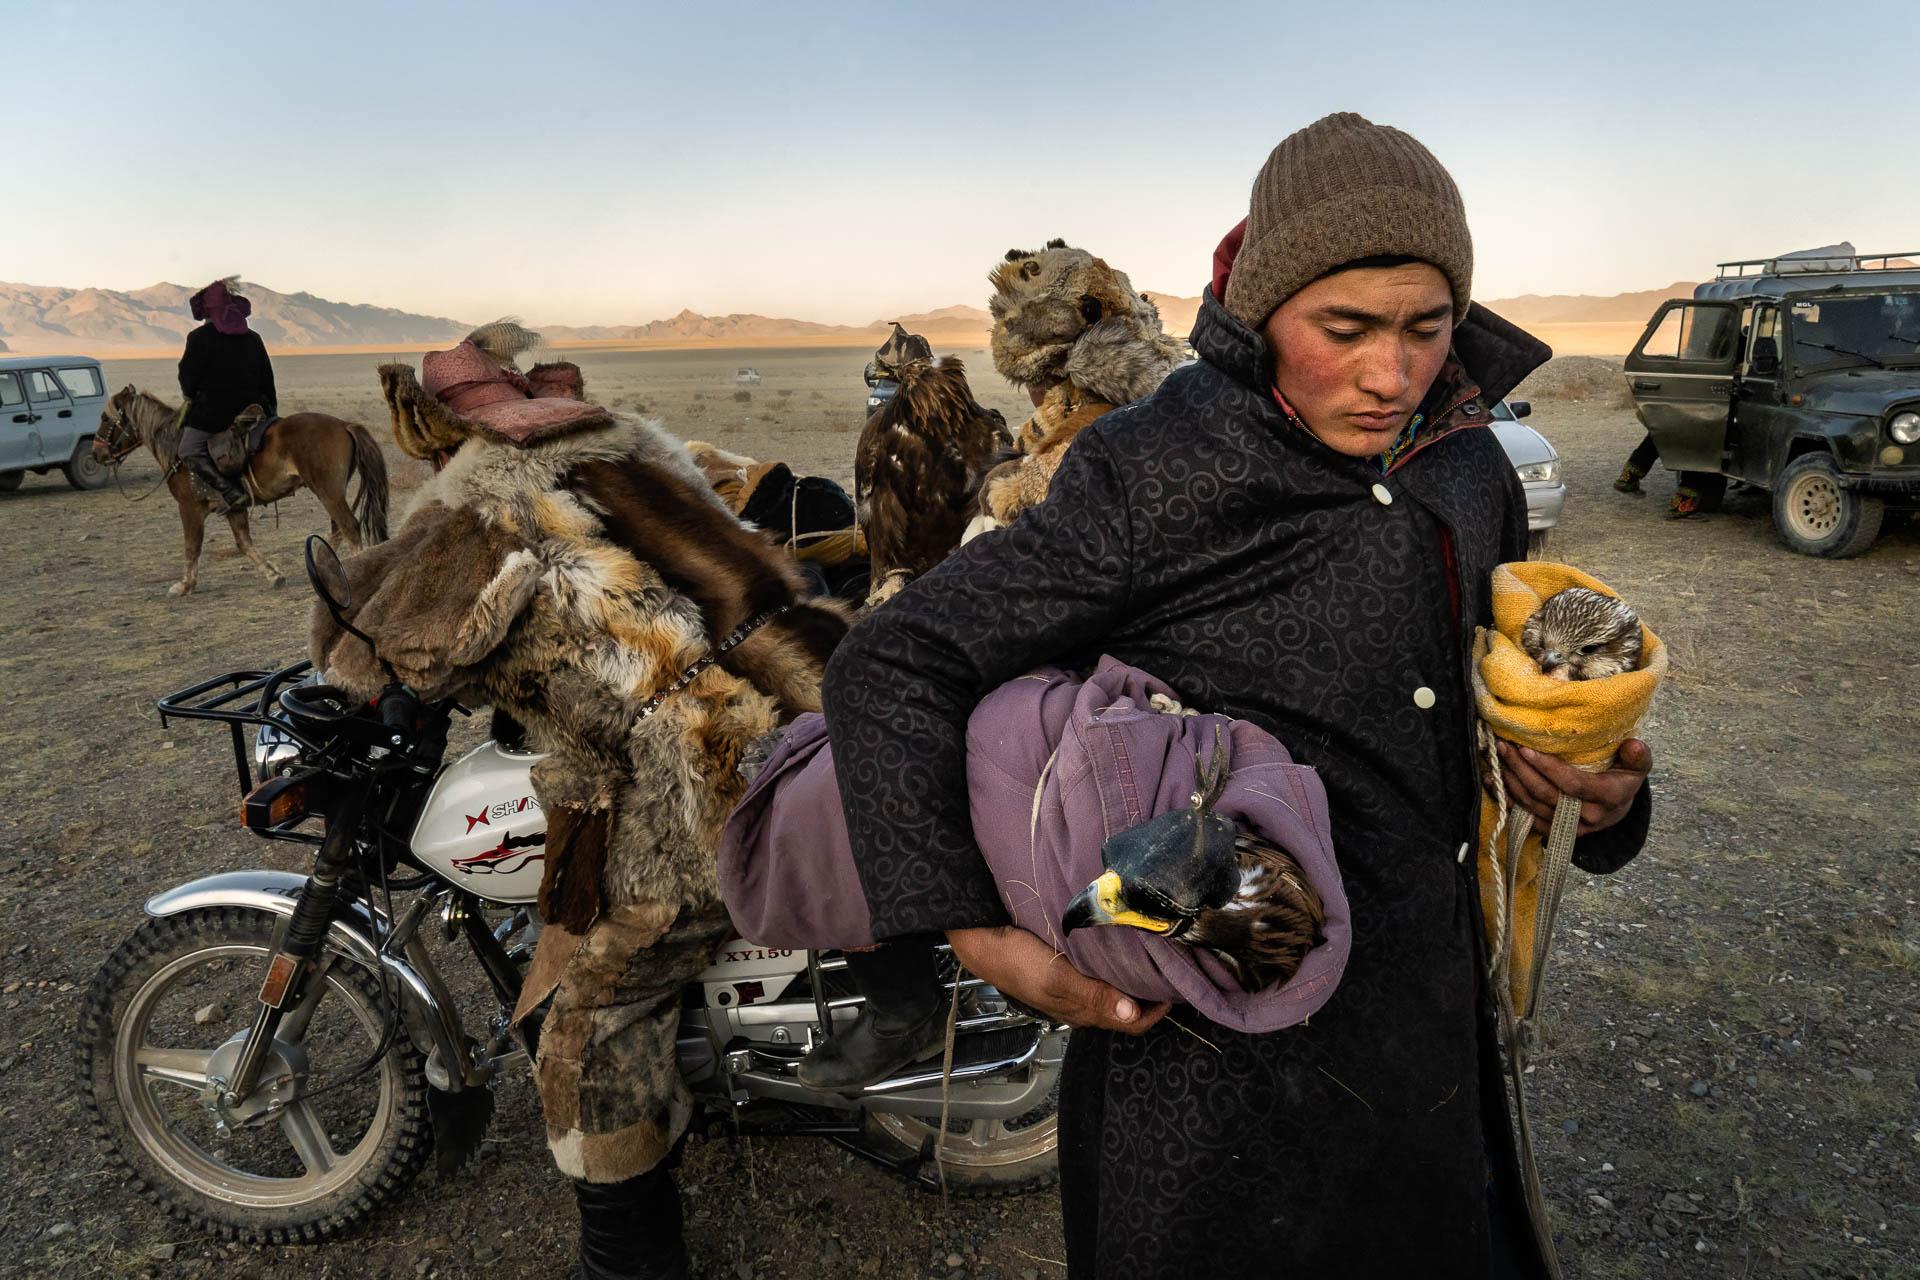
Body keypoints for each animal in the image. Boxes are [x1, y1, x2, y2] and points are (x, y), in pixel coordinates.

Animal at [93, 385, 389, 602]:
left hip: (328, 492)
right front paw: (273, 575)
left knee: (349, 527)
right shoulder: (235, 507)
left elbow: (192, 546)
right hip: (330, 492)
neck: (175, 448)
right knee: (338, 529)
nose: (97, 453)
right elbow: (243, 543)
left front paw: (184, 585)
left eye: (106, 418)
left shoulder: (189, 507)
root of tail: (344, 424)